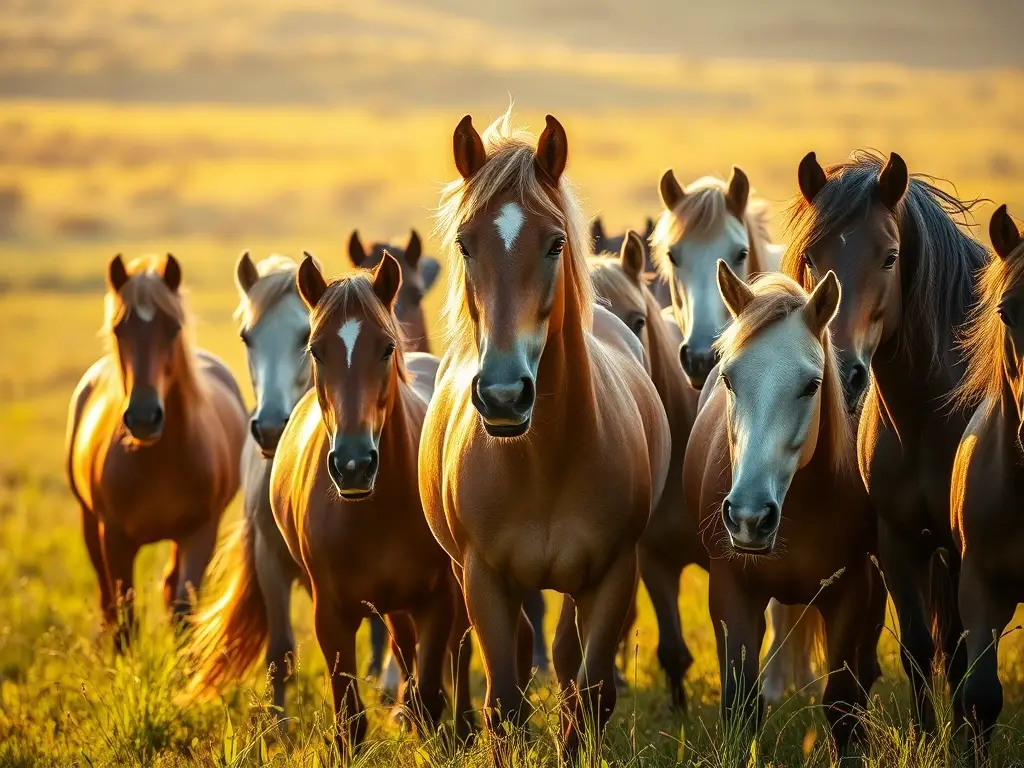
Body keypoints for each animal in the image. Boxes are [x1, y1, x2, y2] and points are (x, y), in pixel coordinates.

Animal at [65, 254, 247, 648]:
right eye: (119, 329)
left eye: (173, 327)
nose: (144, 417)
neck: (158, 461)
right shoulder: (114, 538)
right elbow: (124, 616)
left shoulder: (199, 534)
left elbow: (182, 610)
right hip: (88, 523)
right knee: (107, 599)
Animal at [269, 252, 473, 754]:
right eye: (316, 350)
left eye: (385, 348)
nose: (353, 464)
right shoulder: (330, 614)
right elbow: (350, 719)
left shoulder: (438, 601)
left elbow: (432, 694)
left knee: (459, 651)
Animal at [420, 110, 671, 763]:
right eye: (465, 243)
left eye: (556, 243)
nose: (505, 395)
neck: (541, 462)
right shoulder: (483, 578)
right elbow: (504, 704)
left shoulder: (611, 575)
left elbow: (589, 693)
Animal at [683, 264, 884, 755]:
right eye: (730, 379)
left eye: (812, 385)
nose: (749, 518)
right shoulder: (731, 591)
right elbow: (740, 704)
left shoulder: (851, 591)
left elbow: (842, 705)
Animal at [782, 150, 987, 731]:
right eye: (813, 257)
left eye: (890, 257)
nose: (844, 370)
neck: (928, 414)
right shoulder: (898, 541)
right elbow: (918, 648)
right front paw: (926, 735)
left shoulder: (958, 549)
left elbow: (955, 650)